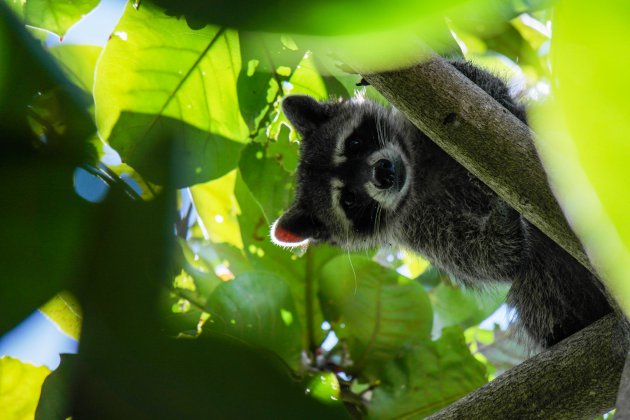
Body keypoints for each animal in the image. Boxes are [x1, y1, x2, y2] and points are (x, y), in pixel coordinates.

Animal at [270, 60, 612, 348]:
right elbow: (491, 258)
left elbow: (488, 92)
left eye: (353, 143)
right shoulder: (420, 229)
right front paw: (502, 217)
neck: (415, 172)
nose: (383, 172)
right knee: (536, 284)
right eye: (349, 200)